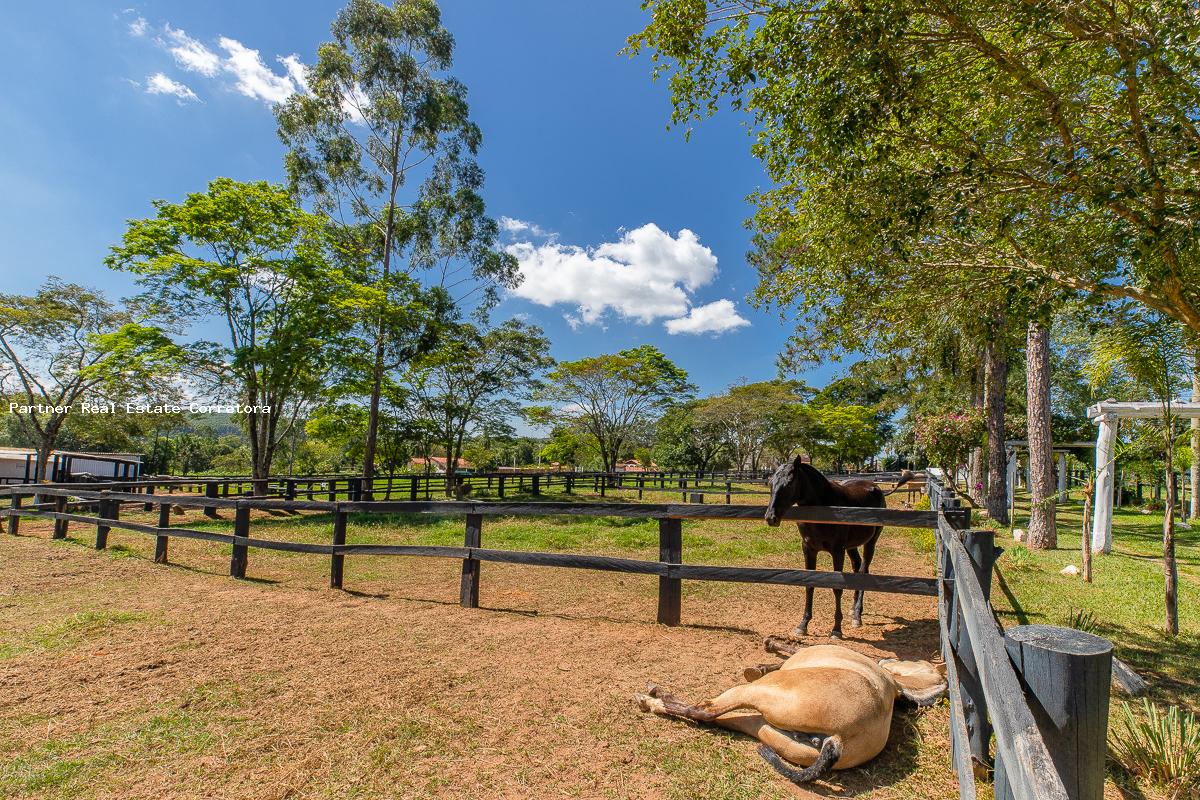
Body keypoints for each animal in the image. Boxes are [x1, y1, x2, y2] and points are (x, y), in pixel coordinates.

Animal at [638, 642, 945, 786]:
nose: (889, 659)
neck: (892, 683)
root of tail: (836, 741)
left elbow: (793, 648)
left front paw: (769, 648)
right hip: (762, 728)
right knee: (714, 717)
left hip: (756, 693)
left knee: (705, 710)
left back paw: (652, 699)